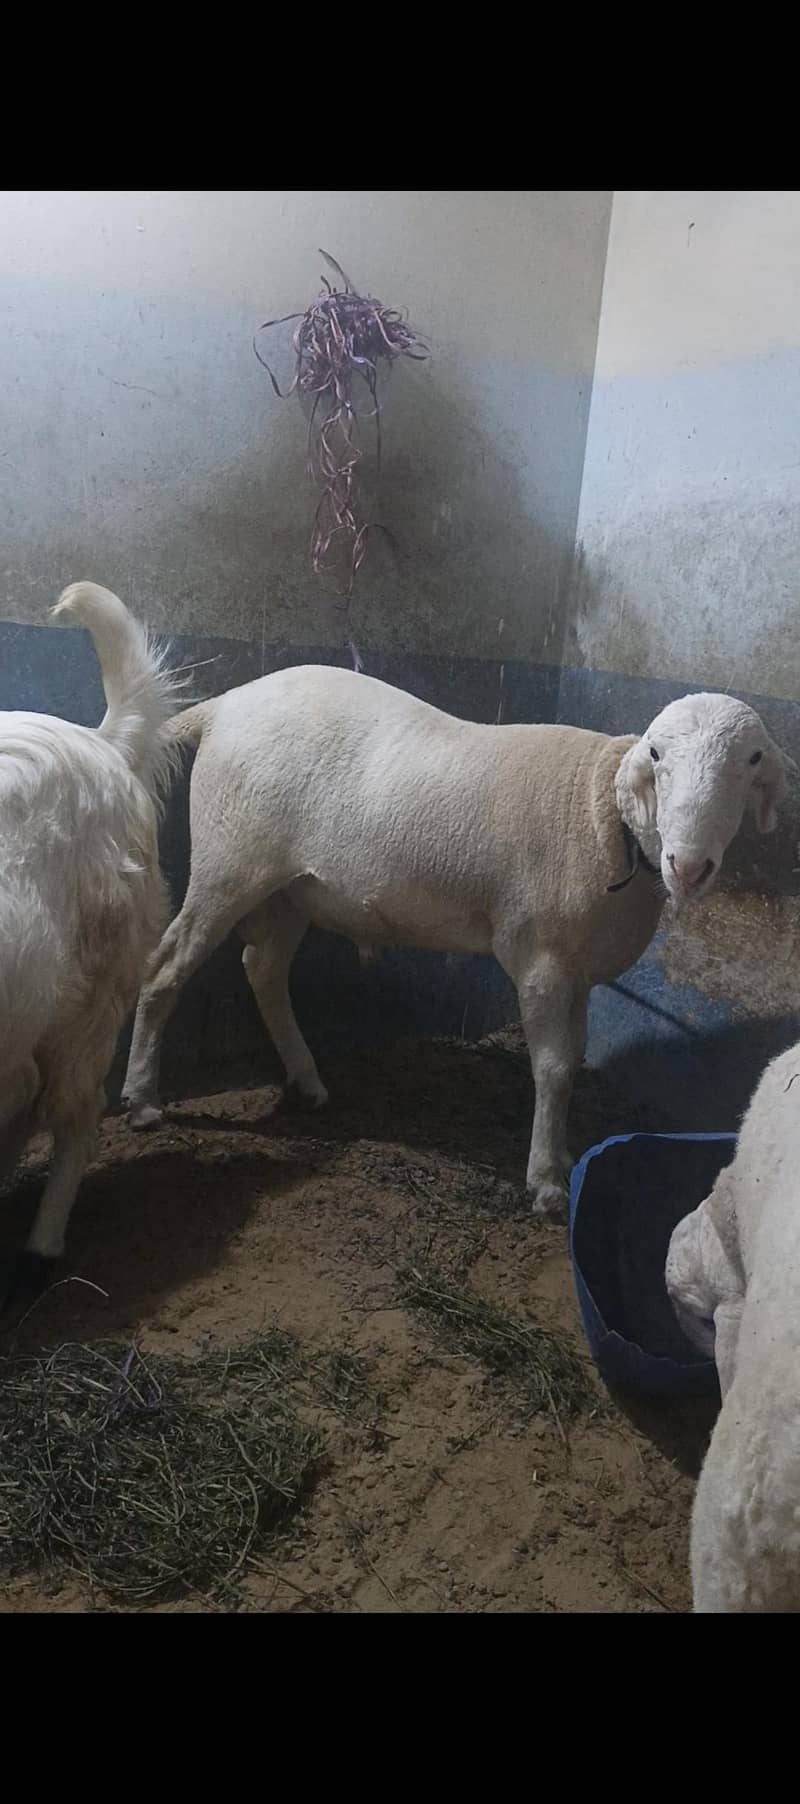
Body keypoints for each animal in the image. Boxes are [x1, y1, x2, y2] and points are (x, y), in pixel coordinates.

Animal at [122, 671, 790, 1212]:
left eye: (754, 758)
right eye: (655, 753)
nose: (690, 866)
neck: (603, 814)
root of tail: (224, 706)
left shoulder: (576, 967)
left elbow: (573, 1060)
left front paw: (559, 1159)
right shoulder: (542, 957)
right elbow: (552, 1068)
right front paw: (546, 1181)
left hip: (291, 889)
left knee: (262, 969)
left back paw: (307, 1081)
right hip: (229, 861)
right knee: (164, 969)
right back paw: (141, 1098)